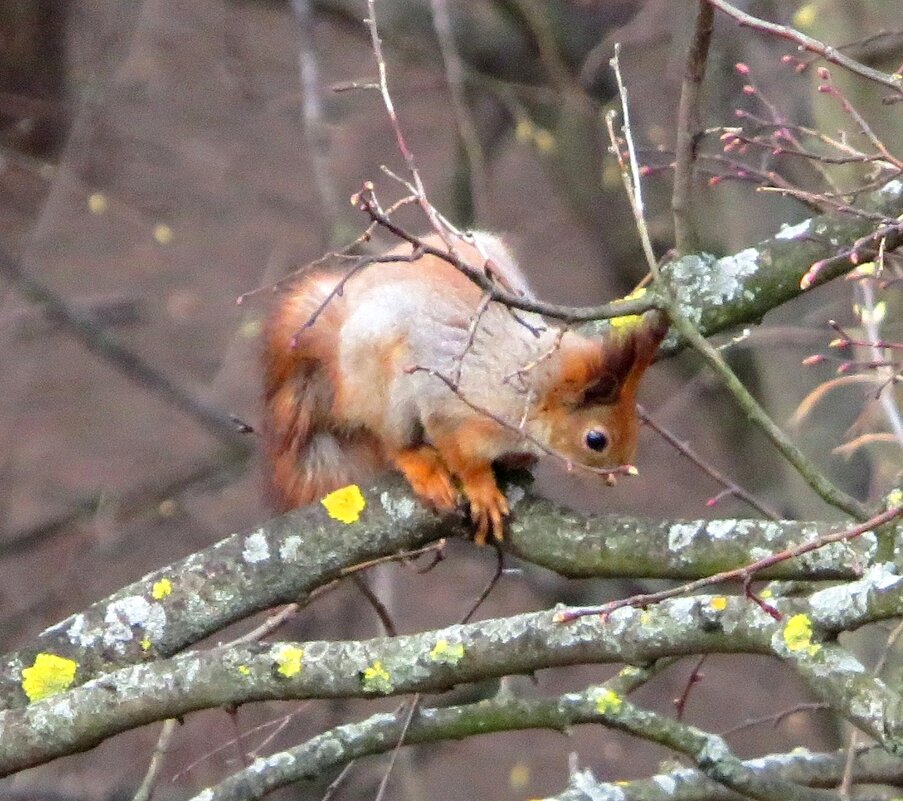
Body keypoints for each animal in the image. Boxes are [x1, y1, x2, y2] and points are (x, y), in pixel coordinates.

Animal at [264, 231, 668, 544]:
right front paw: (482, 489)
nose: (616, 476)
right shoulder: (448, 404)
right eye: (596, 440)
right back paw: (420, 464)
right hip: (382, 385)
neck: (530, 388)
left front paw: (515, 460)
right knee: (393, 441)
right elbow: (461, 454)